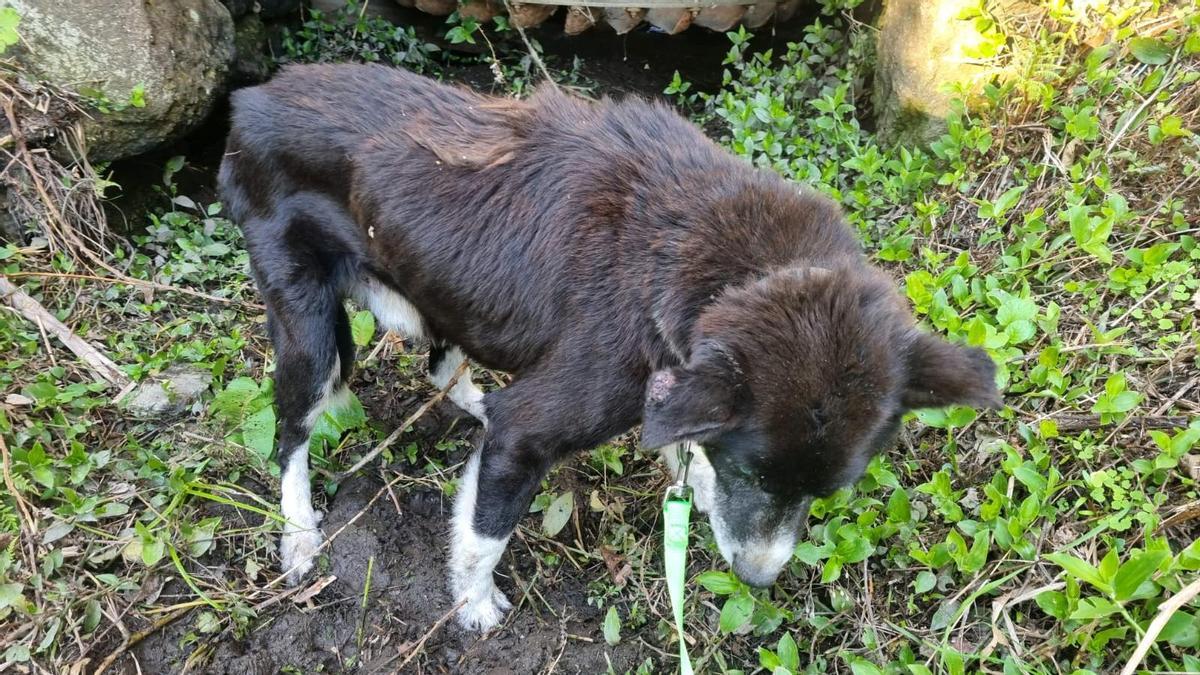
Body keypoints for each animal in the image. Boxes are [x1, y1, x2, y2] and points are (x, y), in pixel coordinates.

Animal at [218, 63, 1003, 629]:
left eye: (827, 493)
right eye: (753, 474)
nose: (755, 579)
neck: (723, 260)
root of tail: (249, 99)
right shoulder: (531, 431)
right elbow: (483, 535)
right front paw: (473, 607)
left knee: (442, 364)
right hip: (310, 331)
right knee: (290, 432)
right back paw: (299, 533)